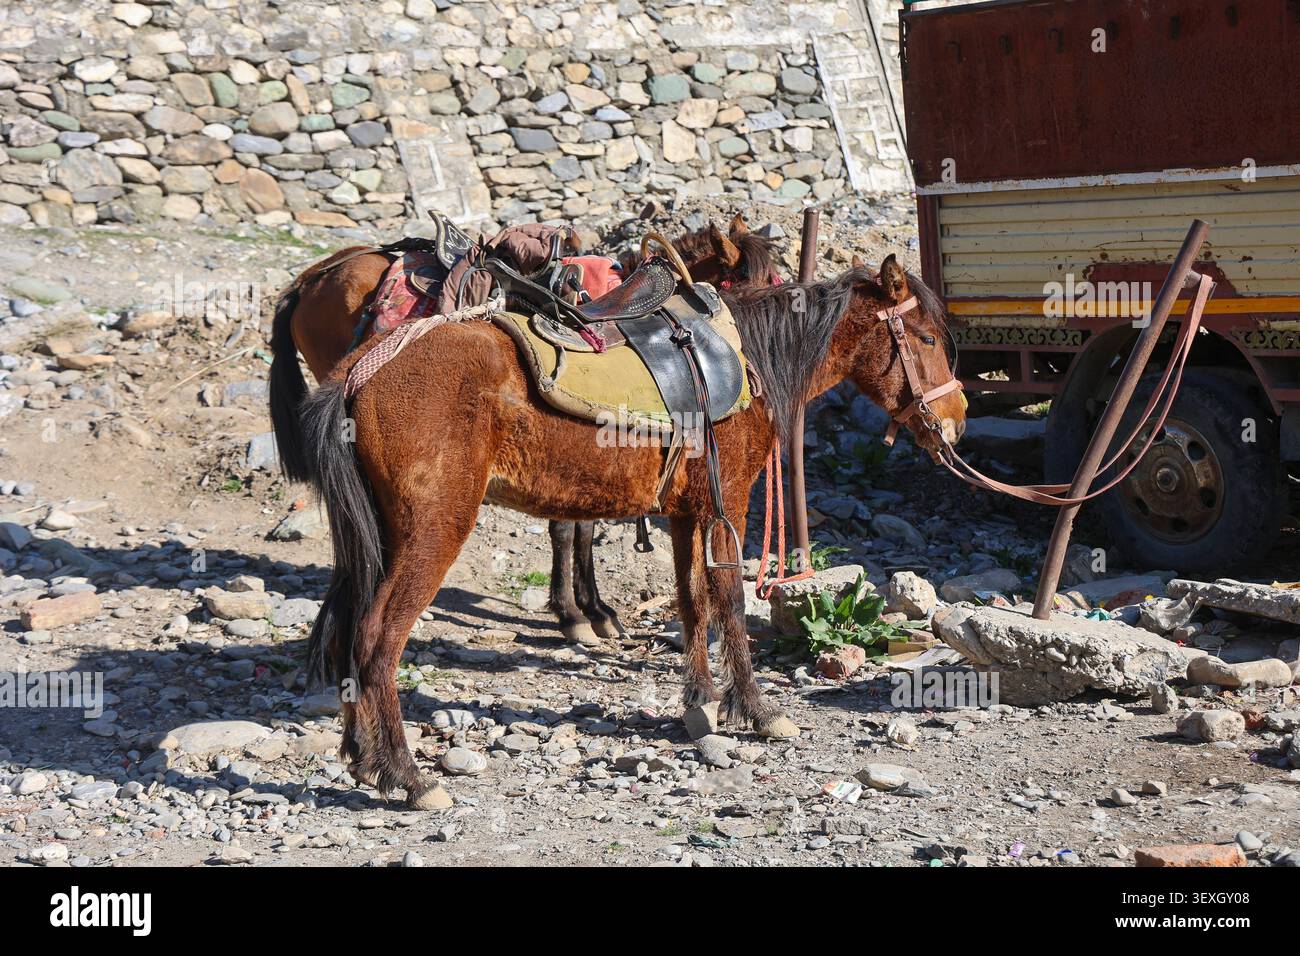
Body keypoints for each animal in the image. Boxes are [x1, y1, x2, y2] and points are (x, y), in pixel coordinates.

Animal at [267, 215, 782, 646]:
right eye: (757, 282)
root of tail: (310, 278)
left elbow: (580, 527)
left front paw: (591, 610)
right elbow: (569, 530)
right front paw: (578, 615)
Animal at [298, 253, 966, 808]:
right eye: (927, 338)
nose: (956, 420)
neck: (748, 358)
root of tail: (361, 374)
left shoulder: (685, 512)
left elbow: (692, 601)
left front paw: (701, 704)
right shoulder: (729, 502)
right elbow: (728, 600)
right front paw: (754, 710)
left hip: (383, 537)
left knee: (352, 628)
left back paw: (363, 759)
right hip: (433, 532)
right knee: (378, 640)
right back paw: (407, 777)